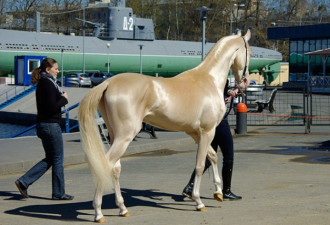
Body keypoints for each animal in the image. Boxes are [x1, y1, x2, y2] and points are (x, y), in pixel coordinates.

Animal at [78, 29, 251, 223]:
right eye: (249, 52)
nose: (245, 81)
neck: (208, 80)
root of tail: (109, 82)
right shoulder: (207, 132)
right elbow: (200, 165)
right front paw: (199, 201)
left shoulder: (196, 134)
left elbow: (212, 157)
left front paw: (219, 192)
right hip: (125, 136)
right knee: (105, 165)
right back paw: (98, 213)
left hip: (115, 135)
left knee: (115, 168)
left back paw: (122, 208)